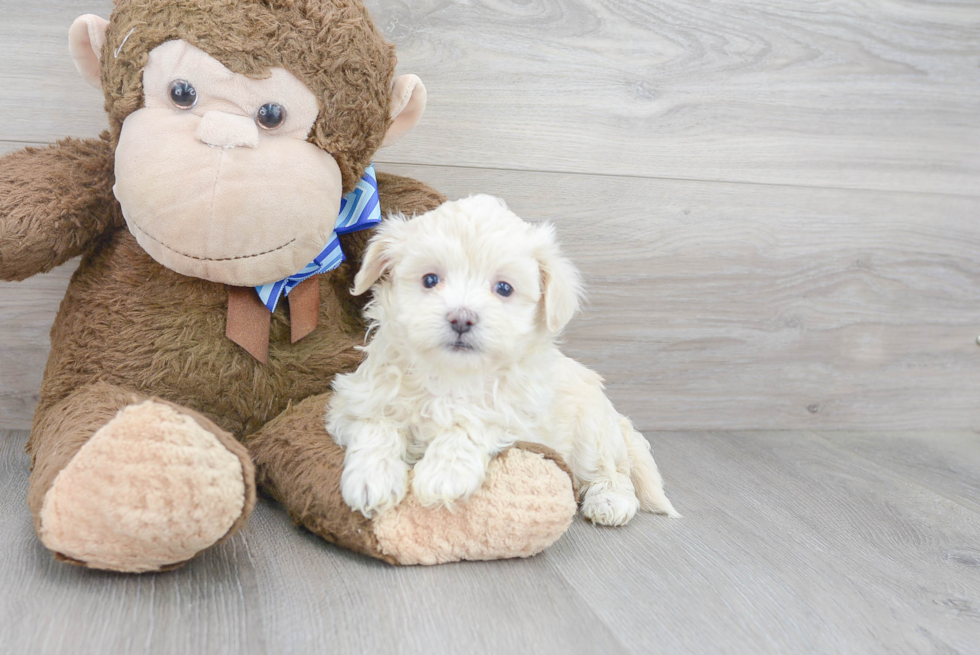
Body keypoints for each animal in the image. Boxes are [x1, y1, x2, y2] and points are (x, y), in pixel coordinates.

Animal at [326, 195, 676, 528]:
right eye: (429, 280)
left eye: (504, 288)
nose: (461, 318)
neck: (452, 375)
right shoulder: (357, 398)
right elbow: (376, 424)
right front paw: (372, 479)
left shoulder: (519, 416)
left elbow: (473, 422)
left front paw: (444, 474)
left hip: (591, 433)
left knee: (612, 472)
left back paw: (609, 501)